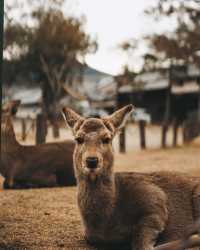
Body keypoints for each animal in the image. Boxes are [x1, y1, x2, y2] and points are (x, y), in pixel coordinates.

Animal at [63, 104, 200, 249]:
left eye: (107, 138)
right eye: (78, 139)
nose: (92, 160)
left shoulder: (155, 200)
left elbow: (141, 244)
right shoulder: (89, 236)